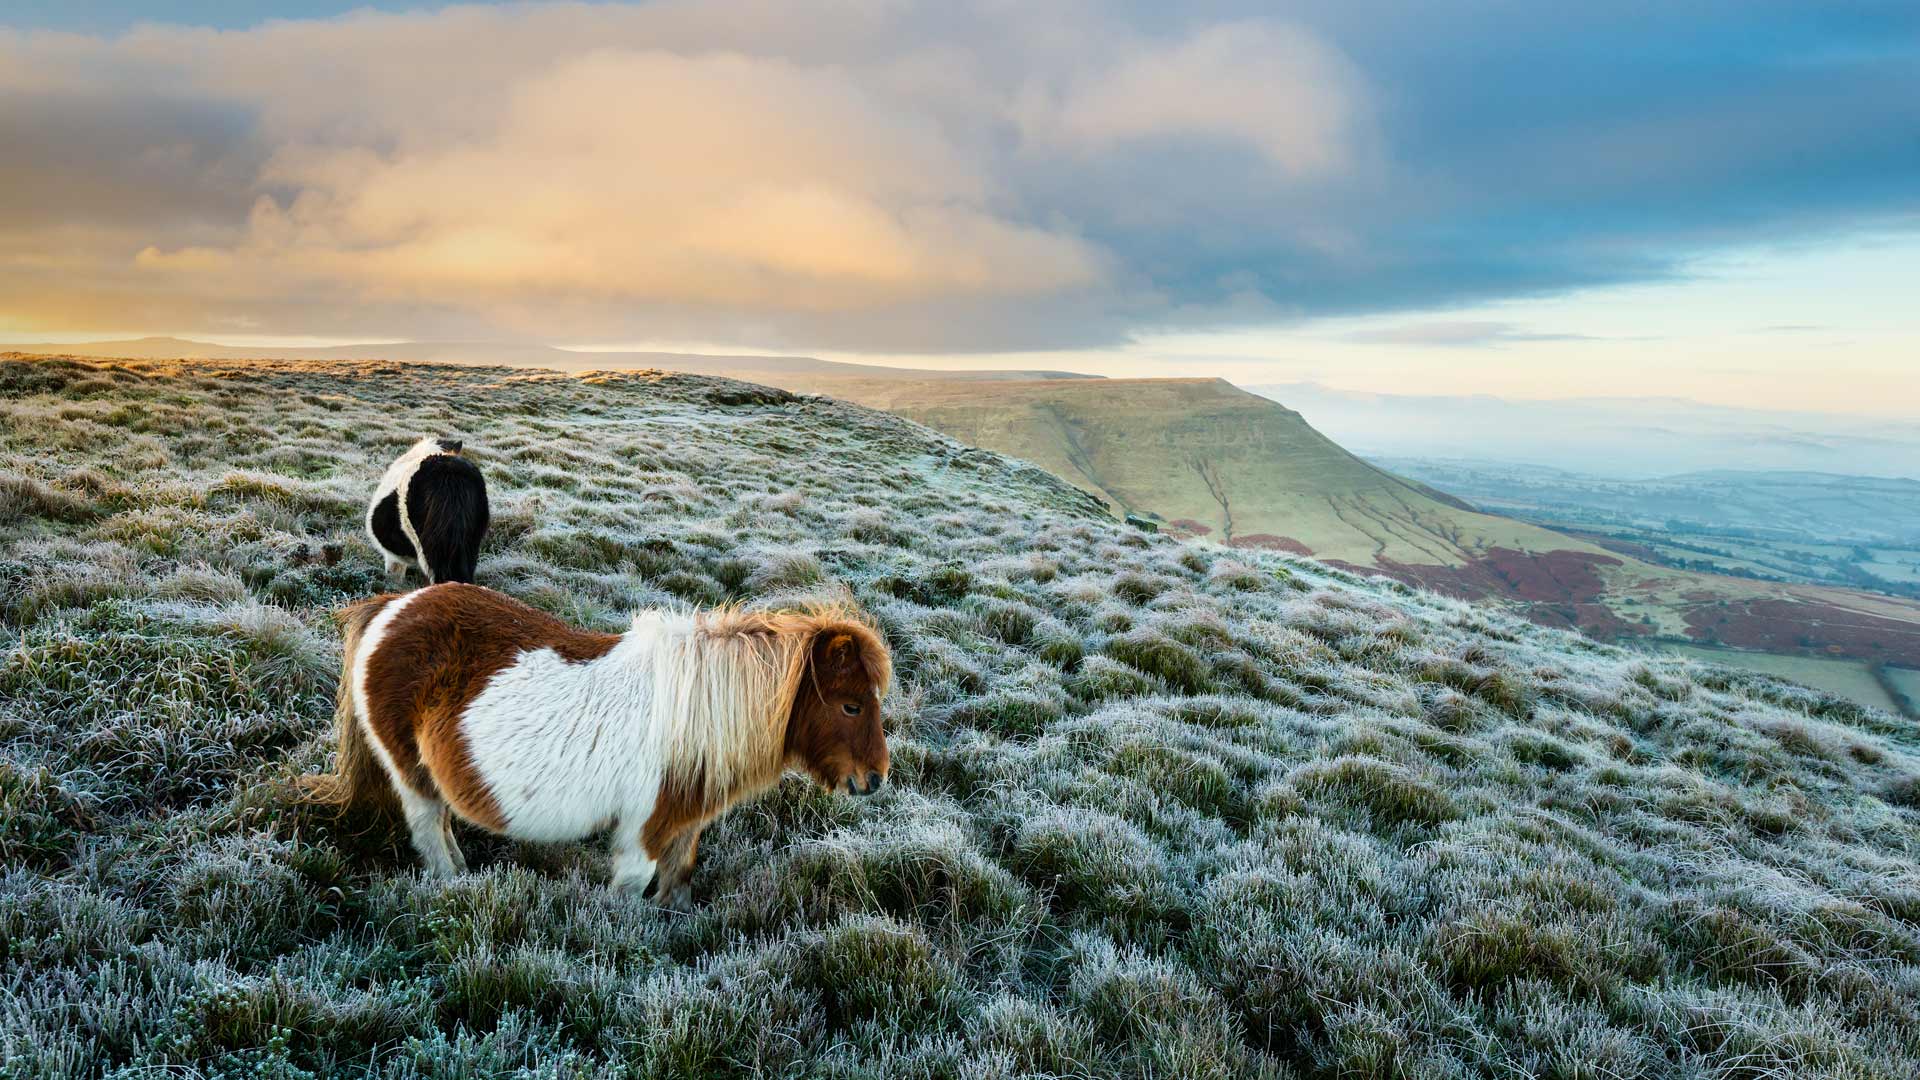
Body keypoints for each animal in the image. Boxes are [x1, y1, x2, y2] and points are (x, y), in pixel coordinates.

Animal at [303, 580, 894, 899]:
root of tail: (390, 607)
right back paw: (454, 885)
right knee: (429, 831)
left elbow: (676, 887)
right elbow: (629, 896)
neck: (699, 716)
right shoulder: (643, 833)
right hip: (411, 776)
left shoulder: (683, 828)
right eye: (851, 704)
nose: (874, 779)